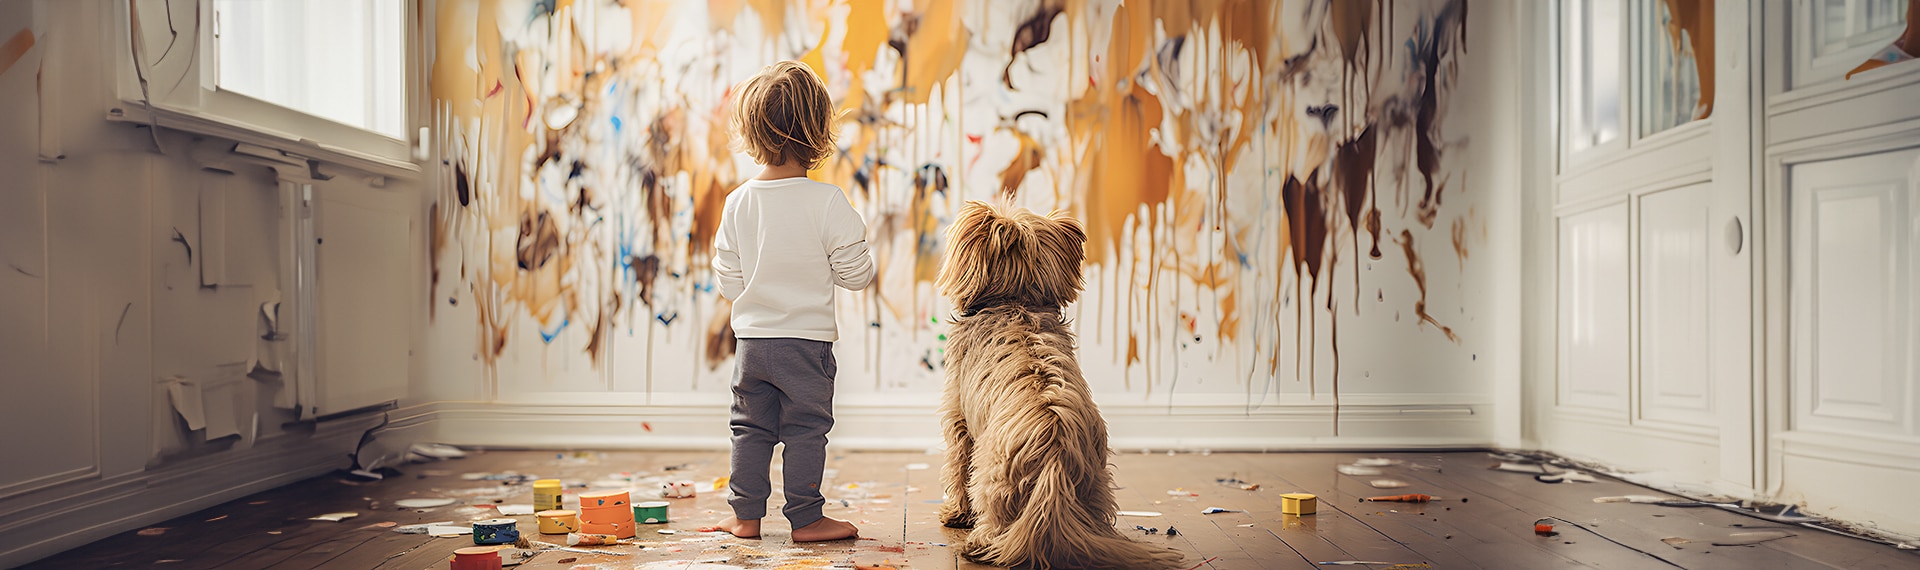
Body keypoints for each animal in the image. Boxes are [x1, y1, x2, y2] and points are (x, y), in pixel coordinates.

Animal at [933, 201, 1182, 564]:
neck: (1014, 302)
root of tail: (1055, 462)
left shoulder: (958, 420)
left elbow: (956, 467)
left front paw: (955, 514)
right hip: (1098, 481)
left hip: (990, 476)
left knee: (992, 516)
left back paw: (978, 544)